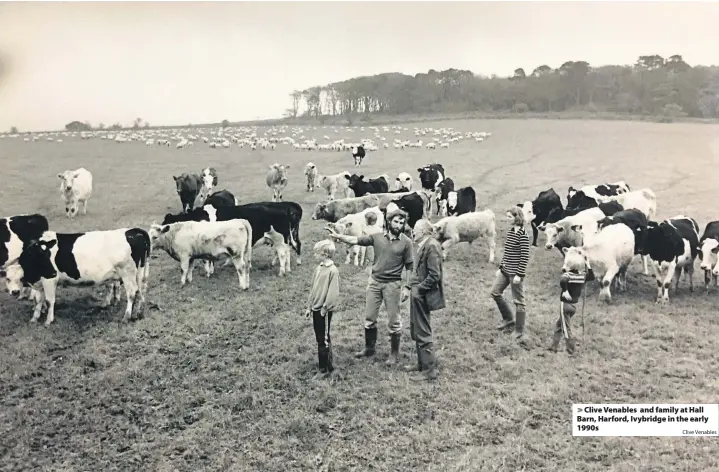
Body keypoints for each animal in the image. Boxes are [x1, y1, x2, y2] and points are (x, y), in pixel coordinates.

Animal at [2, 229, 151, 324]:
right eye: (8, 279)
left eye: (45, 252)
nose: (14, 292)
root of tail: (133, 231)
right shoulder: (40, 282)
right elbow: (38, 300)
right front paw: (35, 318)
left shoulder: (49, 280)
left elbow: (49, 301)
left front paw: (49, 320)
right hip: (141, 271)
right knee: (142, 289)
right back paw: (139, 313)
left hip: (127, 272)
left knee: (132, 292)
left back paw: (127, 317)